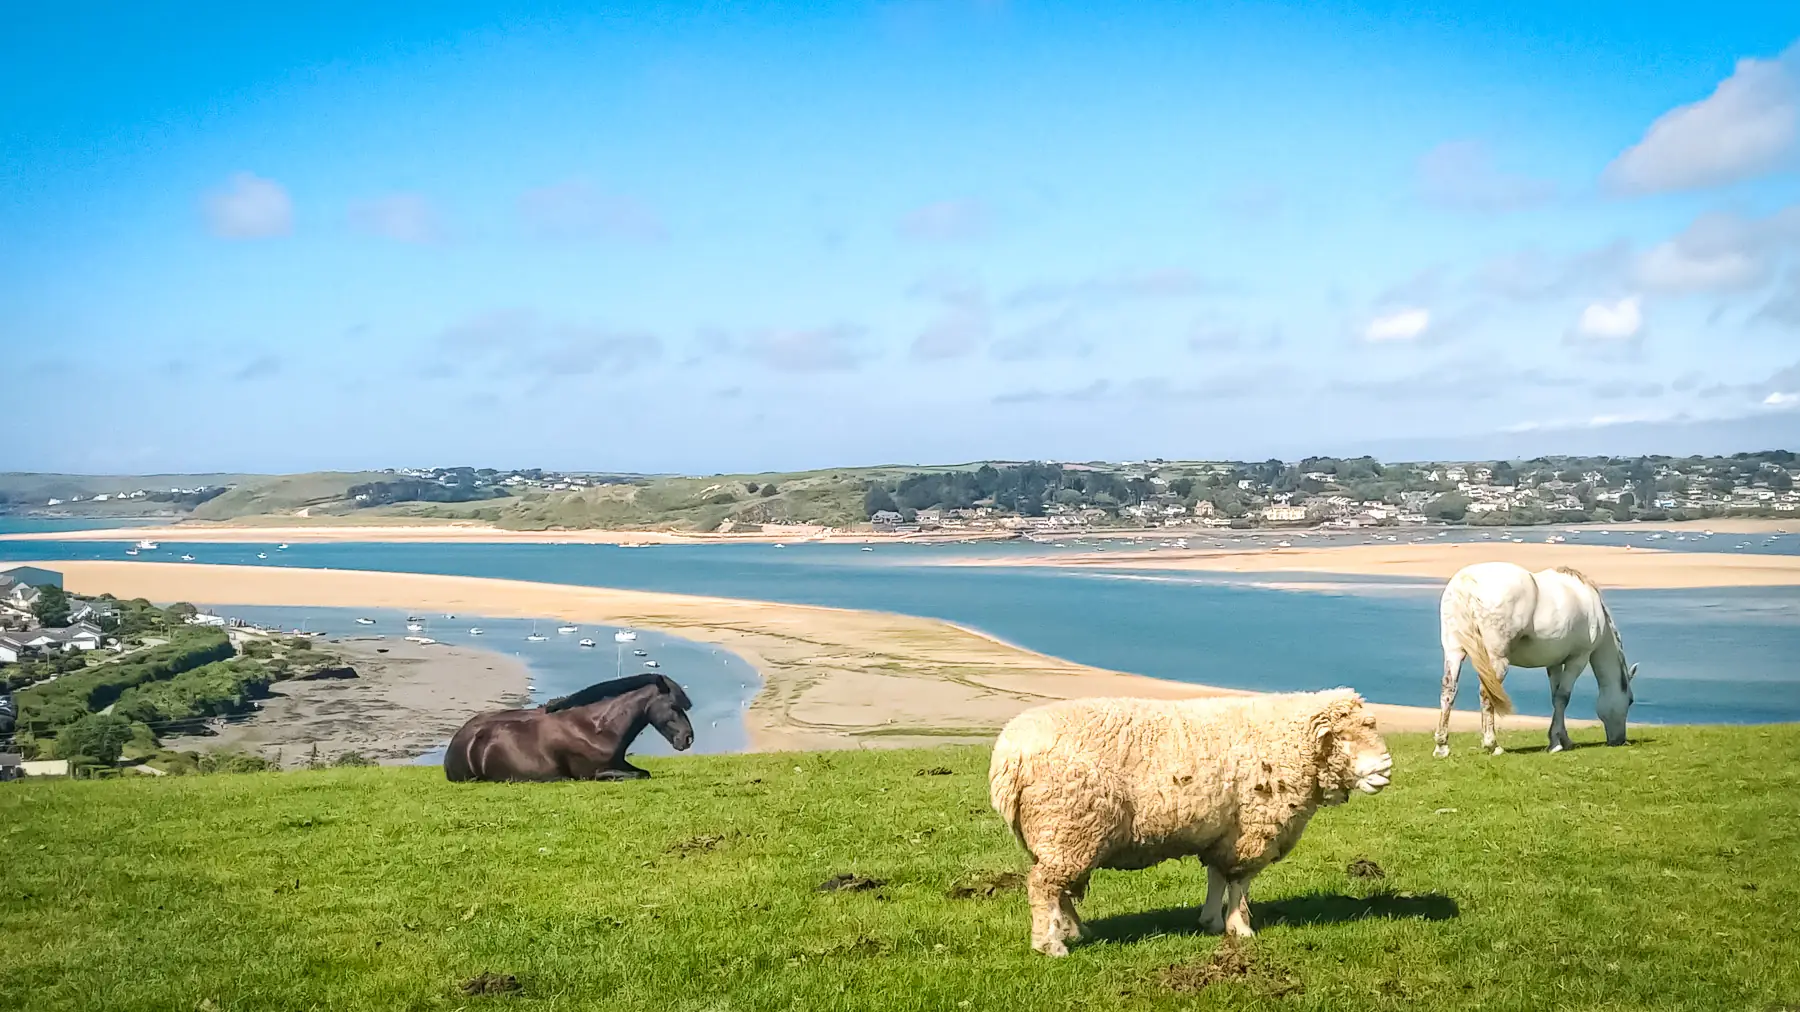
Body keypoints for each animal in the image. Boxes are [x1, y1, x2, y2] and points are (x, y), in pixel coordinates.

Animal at [444, 674, 694, 782]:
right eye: (674, 705)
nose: (688, 738)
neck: (595, 729)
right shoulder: (593, 773)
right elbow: (637, 776)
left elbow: (644, 772)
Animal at [988, 688, 1393, 955]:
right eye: (1345, 736)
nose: (1386, 770)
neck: (1291, 744)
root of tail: (1009, 754)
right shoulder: (1252, 828)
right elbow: (1239, 883)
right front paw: (1240, 928)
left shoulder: (1224, 832)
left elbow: (1216, 877)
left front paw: (1211, 921)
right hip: (1069, 825)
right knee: (1043, 886)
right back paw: (1050, 945)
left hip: (1059, 834)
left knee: (1058, 887)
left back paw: (1074, 931)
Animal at [1435, 562, 1637, 758]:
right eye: (1630, 700)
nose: (1619, 740)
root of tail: (1466, 584)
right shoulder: (1578, 659)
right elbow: (1564, 697)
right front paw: (1556, 744)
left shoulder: (1554, 662)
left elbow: (1556, 697)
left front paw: (1561, 740)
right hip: (1497, 661)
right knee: (1486, 694)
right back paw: (1493, 745)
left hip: (1453, 652)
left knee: (1448, 691)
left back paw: (1442, 747)